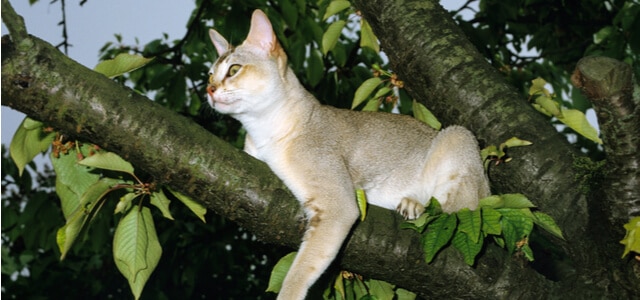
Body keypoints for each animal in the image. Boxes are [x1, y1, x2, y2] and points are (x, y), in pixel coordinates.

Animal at [205, 9, 490, 300]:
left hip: (458, 137)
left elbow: (299, 270)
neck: (263, 131)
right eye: (210, 75)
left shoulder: (337, 205)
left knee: (460, 207)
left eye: (234, 69)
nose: (209, 90)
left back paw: (417, 204)